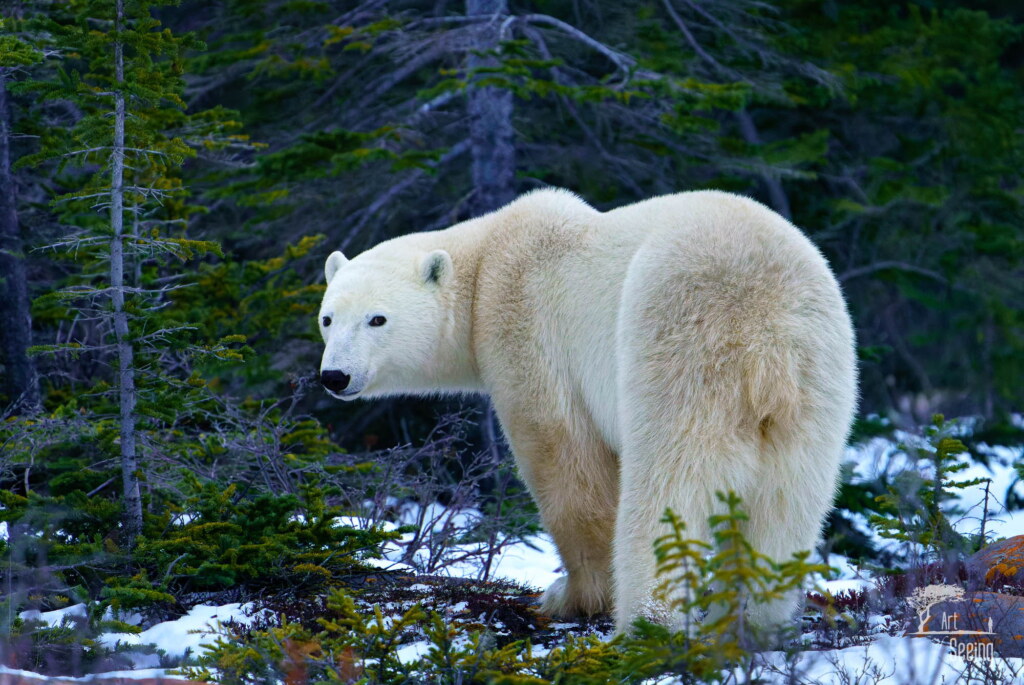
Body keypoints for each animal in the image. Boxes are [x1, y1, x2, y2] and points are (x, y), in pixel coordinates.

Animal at [317, 189, 857, 633]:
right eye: (327, 318)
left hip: (682, 339)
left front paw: (571, 596)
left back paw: (647, 622)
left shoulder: (527, 327)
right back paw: (752, 617)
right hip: (818, 378)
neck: (485, 261)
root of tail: (767, 329)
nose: (334, 376)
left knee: (669, 479)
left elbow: (565, 462)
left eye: (377, 319)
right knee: (790, 498)